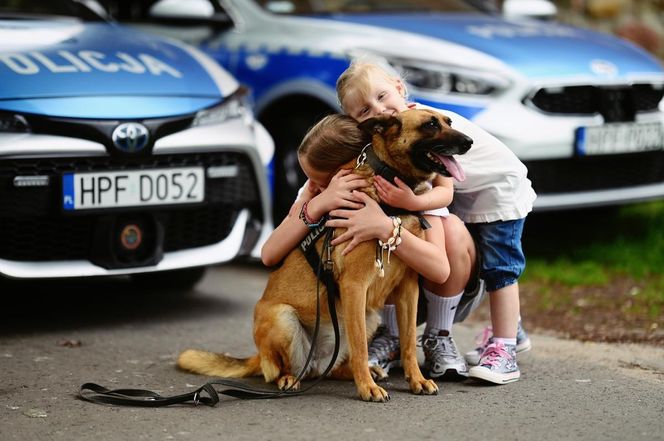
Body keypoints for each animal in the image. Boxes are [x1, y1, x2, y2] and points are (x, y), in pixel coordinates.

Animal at [176, 108, 472, 400]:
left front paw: (416, 380)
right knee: (285, 369)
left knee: (334, 366)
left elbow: (409, 341)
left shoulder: (408, 289)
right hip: (284, 317)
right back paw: (291, 378)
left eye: (449, 121)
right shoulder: (355, 286)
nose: (469, 141)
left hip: (367, 317)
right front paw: (367, 388)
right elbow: (362, 349)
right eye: (430, 125)